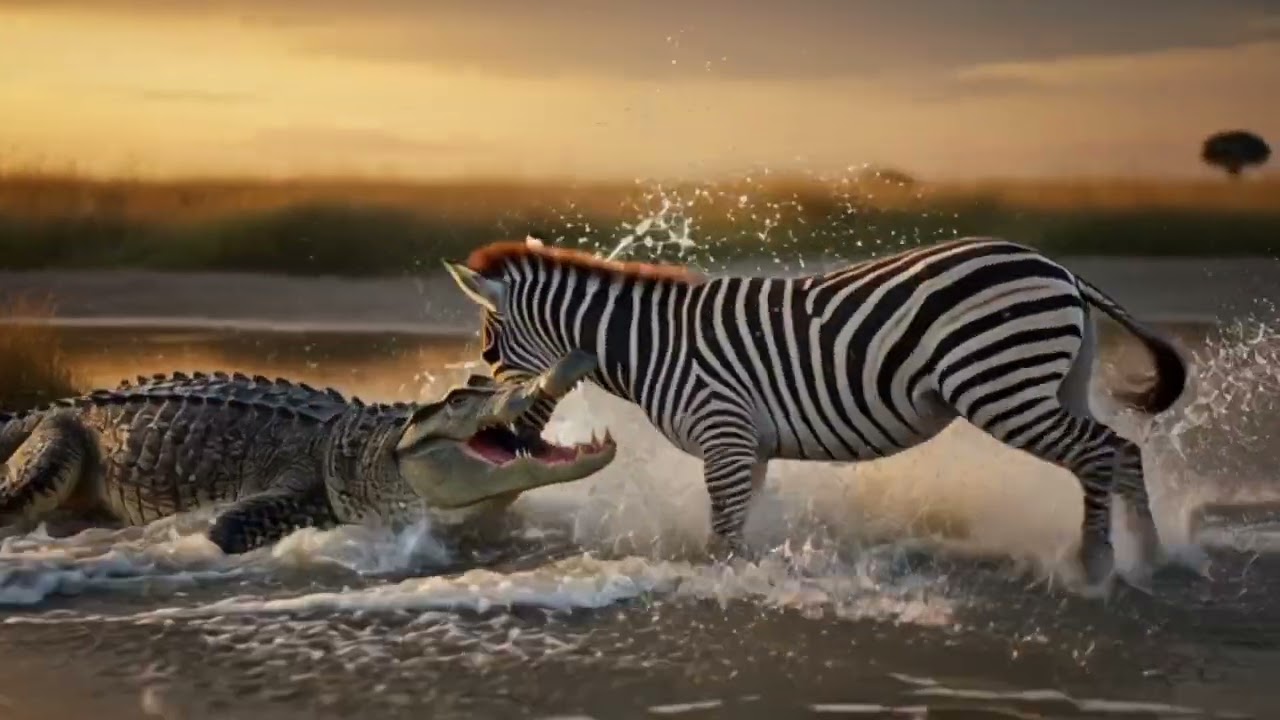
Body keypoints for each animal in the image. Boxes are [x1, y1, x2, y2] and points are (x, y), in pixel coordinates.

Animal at [443, 236, 1188, 595]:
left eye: (489, 348)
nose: (501, 432)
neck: (652, 345)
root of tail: (1056, 267)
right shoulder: (748, 445)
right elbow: (737, 529)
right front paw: (751, 577)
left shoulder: (724, 431)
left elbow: (722, 533)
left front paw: (724, 584)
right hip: (1053, 384)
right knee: (1120, 450)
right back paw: (1150, 558)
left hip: (1003, 386)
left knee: (1099, 452)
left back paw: (1095, 566)